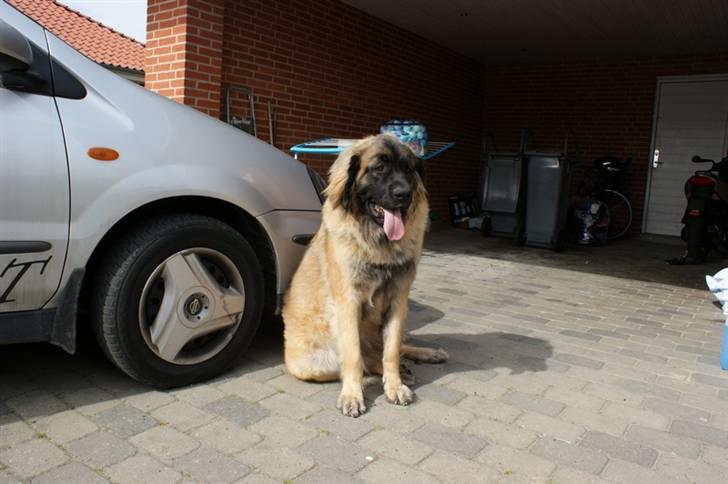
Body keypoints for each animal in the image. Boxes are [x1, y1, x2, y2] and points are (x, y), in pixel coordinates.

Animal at [284, 134, 450, 418]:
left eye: (408, 169)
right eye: (379, 168)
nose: (404, 194)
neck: (377, 242)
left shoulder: (398, 302)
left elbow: (391, 351)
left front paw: (394, 386)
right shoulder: (348, 303)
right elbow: (354, 357)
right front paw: (352, 395)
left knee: (390, 350)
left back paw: (426, 355)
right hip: (311, 364)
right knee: (366, 360)